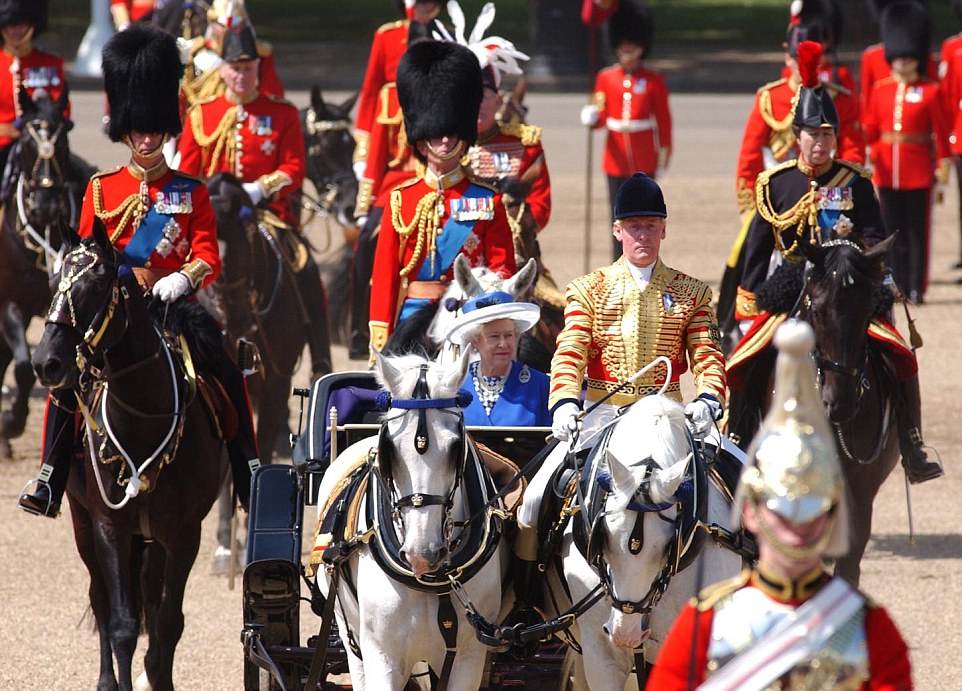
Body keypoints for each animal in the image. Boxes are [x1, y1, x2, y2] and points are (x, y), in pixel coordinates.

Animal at [0, 86, 94, 457]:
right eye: (28, 141)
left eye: (63, 140)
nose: (46, 205)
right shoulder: (11, 305)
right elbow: (25, 368)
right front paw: (12, 422)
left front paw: (11, 422)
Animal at [31, 220, 226, 691]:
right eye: (54, 280)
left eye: (98, 283)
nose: (45, 362)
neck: (143, 416)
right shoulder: (109, 526)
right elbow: (121, 624)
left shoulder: (184, 534)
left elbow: (168, 624)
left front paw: (159, 677)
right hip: (83, 522)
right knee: (101, 600)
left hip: (152, 539)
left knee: (152, 606)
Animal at [313, 349, 508, 690]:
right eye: (388, 447)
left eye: (456, 445)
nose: (422, 554)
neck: (435, 581)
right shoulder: (382, 654)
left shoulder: (468, 659)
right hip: (350, 633)